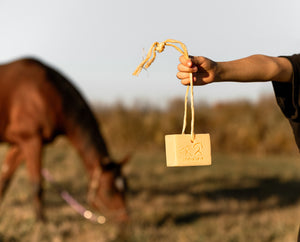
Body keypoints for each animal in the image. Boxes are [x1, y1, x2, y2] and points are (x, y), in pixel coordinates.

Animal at [0, 57, 128, 222]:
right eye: (108, 192)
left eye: (125, 187)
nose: (126, 220)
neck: (45, 93)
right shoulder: (32, 141)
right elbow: (37, 184)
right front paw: (41, 220)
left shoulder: (19, 145)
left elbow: (5, 179)